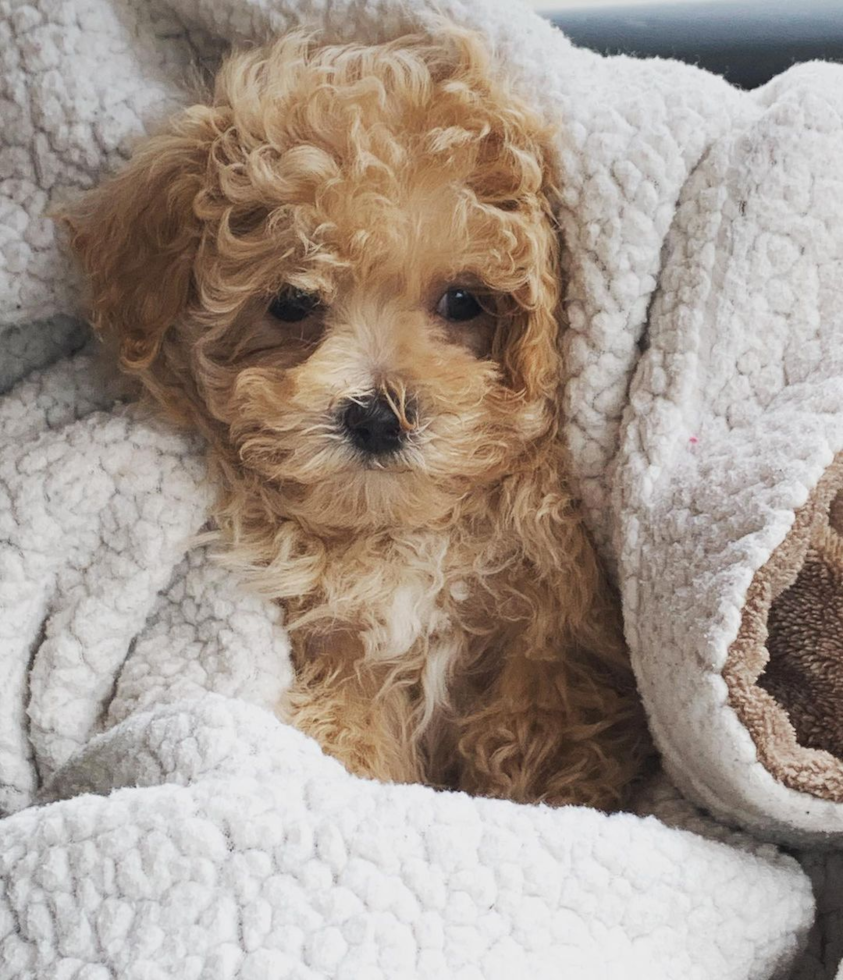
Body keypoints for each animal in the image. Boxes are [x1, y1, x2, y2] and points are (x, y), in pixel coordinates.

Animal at [62, 26, 648, 808]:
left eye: (463, 300)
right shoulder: (339, 642)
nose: (376, 417)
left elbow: (538, 724)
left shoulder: (554, 634)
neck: (404, 537)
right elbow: (352, 722)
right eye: (291, 302)